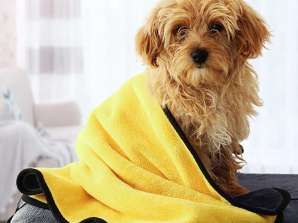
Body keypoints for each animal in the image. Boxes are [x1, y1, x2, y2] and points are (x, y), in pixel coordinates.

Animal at [136, 0, 270, 196]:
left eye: (216, 27)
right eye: (180, 29)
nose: (198, 55)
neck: (205, 88)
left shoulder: (226, 128)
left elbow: (224, 161)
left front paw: (234, 191)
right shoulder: (188, 137)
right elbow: (200, 169)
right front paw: (211, 194)